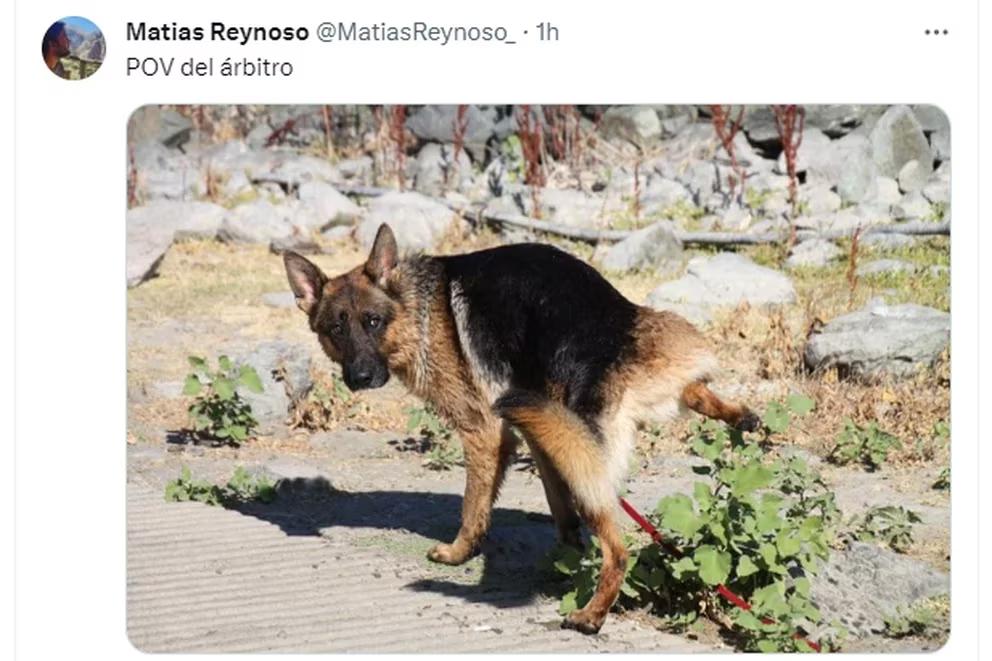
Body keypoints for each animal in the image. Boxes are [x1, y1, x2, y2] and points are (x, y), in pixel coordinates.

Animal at [280, 224, 760, 632]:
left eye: (372, 322)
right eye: (335, 329)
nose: (360, 377)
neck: (419, 310)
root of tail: (622, 353)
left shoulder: (484, 432)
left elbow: (473, 507)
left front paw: (458, 553)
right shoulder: (537, 435)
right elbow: (557, 503)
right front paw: (566, 554)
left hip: (576, 455)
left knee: (619, 550)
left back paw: (592, 615)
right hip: (580, 418)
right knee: (695, 391)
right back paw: (738, 414)